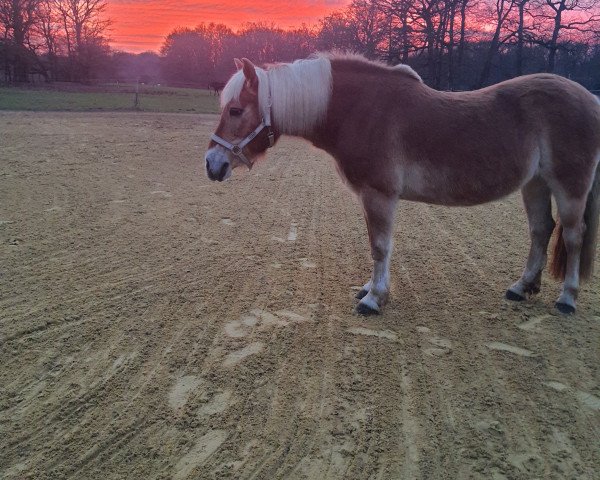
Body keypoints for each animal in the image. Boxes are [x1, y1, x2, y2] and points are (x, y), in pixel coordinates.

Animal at [204, 53, 596, 316]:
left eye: (235, 110)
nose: (212, 164)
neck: (361, 109)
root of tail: (590, 98)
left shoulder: (380, 195)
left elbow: (380, 246)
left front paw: (374, 298)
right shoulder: (369, 196)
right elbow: (376, 245)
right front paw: (369, 289)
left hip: (569, 188)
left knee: (573, 235)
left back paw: (567, 298)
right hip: (535, 184)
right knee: (541, 229)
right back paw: (521, 287)